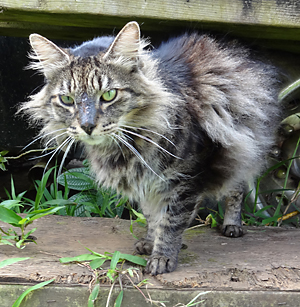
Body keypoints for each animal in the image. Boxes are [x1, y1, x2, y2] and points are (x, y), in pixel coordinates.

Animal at [19, 22, 282, 276]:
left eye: (109, 95)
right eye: (67, 100)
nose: (87, 126)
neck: (129, 145)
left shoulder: (186, 178)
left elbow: (171, 221)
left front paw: (162, 258)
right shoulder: (144, 181)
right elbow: (152, 215)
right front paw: (150, 241)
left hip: (244, 146)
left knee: (237, 188)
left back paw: (232, 225)